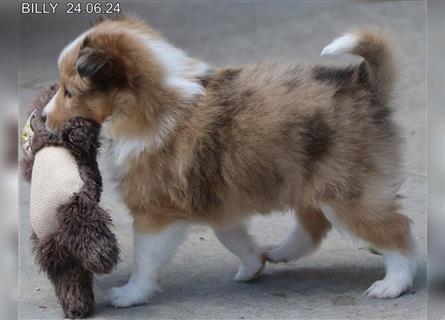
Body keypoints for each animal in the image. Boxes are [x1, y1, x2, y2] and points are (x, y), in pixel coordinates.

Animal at [40, 15, 416, 308]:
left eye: (69, 92)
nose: (42, 118)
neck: (144, 103)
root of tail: (364, 85)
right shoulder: (218, 200)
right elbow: (232, 237)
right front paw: (253, 265)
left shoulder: (155, 212)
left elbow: (145, 259)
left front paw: (130, 294)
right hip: (310, 178)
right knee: (313, 224)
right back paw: (279, 251)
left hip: (346, 191)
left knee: (396, 231)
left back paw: (393, 284)